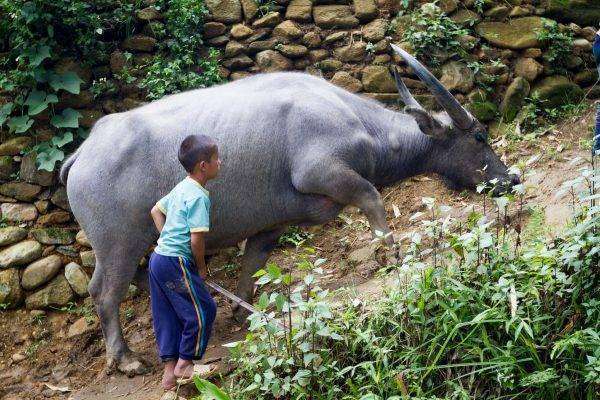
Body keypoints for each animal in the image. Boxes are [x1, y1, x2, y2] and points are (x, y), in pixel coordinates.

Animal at [59, 47, 516, 376]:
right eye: (479, 136)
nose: (509, 178)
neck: (357, 122)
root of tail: (84, 151)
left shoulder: (271, 223)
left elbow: (254, 262)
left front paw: (242, 311)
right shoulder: (324, 172)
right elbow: (371, 197)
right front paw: (391, 253)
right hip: (118, 244)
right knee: (104, 292)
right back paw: (125, 358)